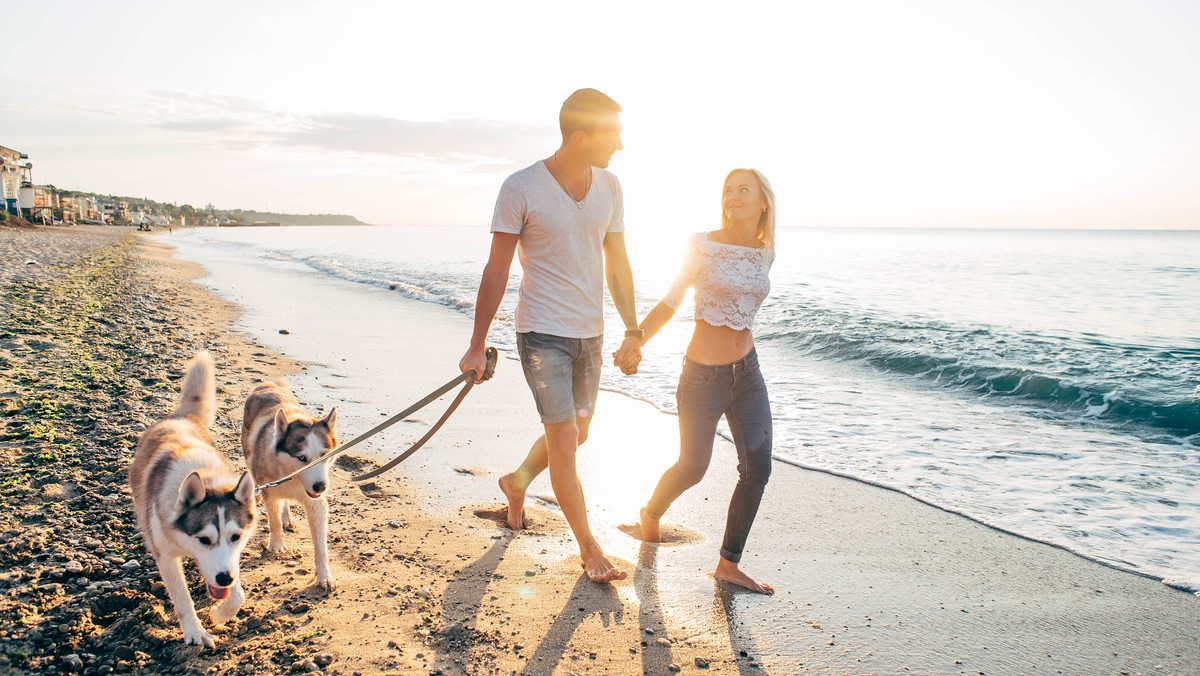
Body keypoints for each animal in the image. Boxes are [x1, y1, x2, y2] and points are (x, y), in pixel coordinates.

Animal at [129, 353, 255, 648]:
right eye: (204, 539)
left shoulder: (230, 559)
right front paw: (195, 632)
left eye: (236, 537)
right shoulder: (165, 556)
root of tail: (181, 417)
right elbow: (182, 598)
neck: (206, 479)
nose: (224, 578)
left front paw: (221, 614)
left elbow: (238, 594)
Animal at [241, 379, 338, 590]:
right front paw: (276, 544)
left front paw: (324, 576)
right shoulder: (270, 490)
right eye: (301, 457)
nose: (320, 487)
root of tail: (267, 384)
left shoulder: (316, 503)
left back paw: (287, 517)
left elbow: (321, 544)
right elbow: (273, 520)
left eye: (323, 455)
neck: (292, 476)